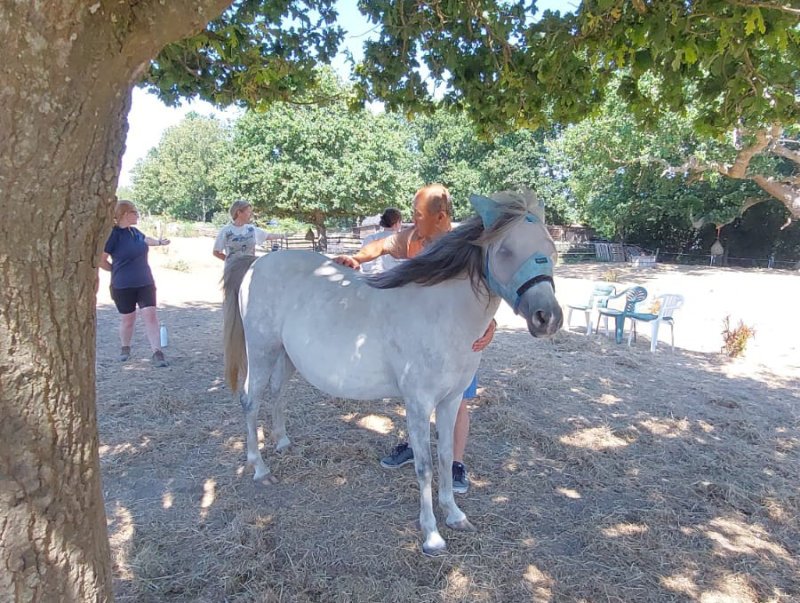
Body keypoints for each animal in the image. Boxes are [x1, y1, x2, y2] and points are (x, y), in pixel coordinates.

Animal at [222, 189, 563, 555]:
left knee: (278, 393)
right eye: (505, 250)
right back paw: (259, 469)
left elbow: (445, 456)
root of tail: (255, 264)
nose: (547, 318)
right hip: (261, 351)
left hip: (286, 357)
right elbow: (424, 466)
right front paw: (431, 534)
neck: (441, 313)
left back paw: (283, 443)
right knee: (251, 402)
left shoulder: (451, 400)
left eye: (550, 249)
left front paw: (454, 514)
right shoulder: (419, 403)